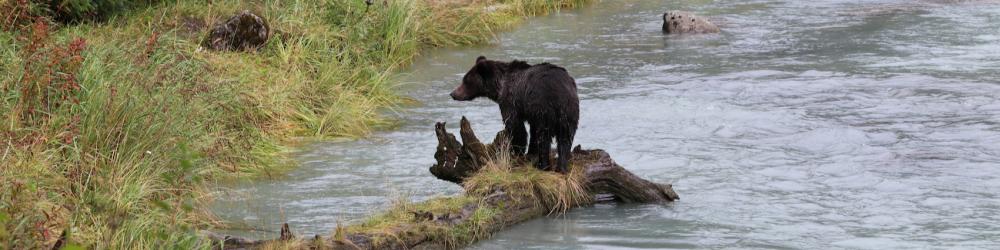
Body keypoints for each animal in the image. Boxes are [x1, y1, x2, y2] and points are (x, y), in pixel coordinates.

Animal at [452, 55, 584, 173]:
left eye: (466, 81)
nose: (453, 93)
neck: (499, 86)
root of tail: (560, 92)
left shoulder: (511, 101)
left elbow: (515, 127)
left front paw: (516, 151)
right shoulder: (531, 111)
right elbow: (532, 130)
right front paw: (530, 152)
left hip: (545, 107)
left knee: (544, 136)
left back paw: (543, 165)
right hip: (569, 111)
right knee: (565, 138)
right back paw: (561, 167)